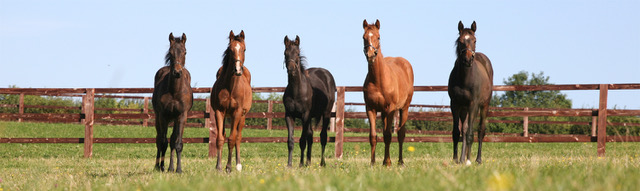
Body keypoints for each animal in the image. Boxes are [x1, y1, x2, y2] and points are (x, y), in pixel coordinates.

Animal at [152, 32, 192, 173]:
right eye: (170, 52)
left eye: (185, 52)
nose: (177, 72)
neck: (174, 91)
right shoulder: (163, 115)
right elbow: (162, 142)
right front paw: (161, 167)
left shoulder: (181, 116)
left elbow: (177, 142)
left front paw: (178, 169)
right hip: (158, 118)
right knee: (159, 139)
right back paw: (159, 166)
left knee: (173, 140)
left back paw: (171, 167)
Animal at [209, 30, 251, 173]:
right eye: (231, 50)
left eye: (244, 49)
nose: (237, 70)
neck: (230, 87)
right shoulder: (219, 112)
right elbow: (220, 139)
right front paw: (218, 167)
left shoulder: (237, 113)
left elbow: (232, 139)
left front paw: (228, 167)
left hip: (242, 116)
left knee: (238, 138)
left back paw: (238, 165)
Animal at [282, 35, 338, 167]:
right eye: (285, 53)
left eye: (297, 53)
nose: (291, 69)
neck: (297, 91)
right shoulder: (289, 115)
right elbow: (291, 141)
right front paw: (290, 165)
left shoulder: (305, 115)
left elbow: (302, 140)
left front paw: (301, 164)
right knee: (311, 135)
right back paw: (308, 162)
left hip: (326, 114)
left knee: (323, 136)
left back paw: (322, 163)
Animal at [360, 18, 416, 166]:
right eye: (364, 37)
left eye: (378, 37)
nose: (370, 55)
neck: (379, 81)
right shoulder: (371, 109)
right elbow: (373, 136)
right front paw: (373, 163)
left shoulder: (390, 108)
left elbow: (388, 136)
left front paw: (387, 162)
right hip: (385, 113)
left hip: (403, 108)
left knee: (401, 133)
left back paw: (400, 161)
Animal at [450, 20, 496, 164]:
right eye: (460, 41)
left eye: (475, 40)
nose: (468, 59)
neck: (465, 79)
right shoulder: (455, 104)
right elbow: (457, 132)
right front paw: (455, 159)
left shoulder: (473, 104)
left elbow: (471, 133)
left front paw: (468, 160)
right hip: (464, 109)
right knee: (464, 130)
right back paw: (462, 158)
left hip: (483, 106)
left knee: (480, 131)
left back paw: (477, 159)